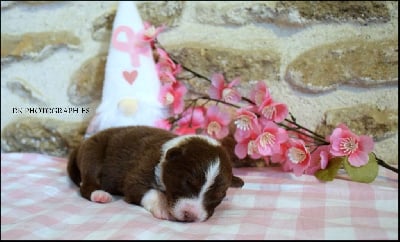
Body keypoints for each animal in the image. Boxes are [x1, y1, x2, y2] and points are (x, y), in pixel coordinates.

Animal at [67, 125, 244, 222]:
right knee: (86, 183)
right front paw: (163, 206)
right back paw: (99, 194)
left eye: (219, 196)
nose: (191, 215)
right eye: (187, 182)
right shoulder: (137, 175)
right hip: (93, 152)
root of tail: (80, 145)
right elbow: (149, 191)